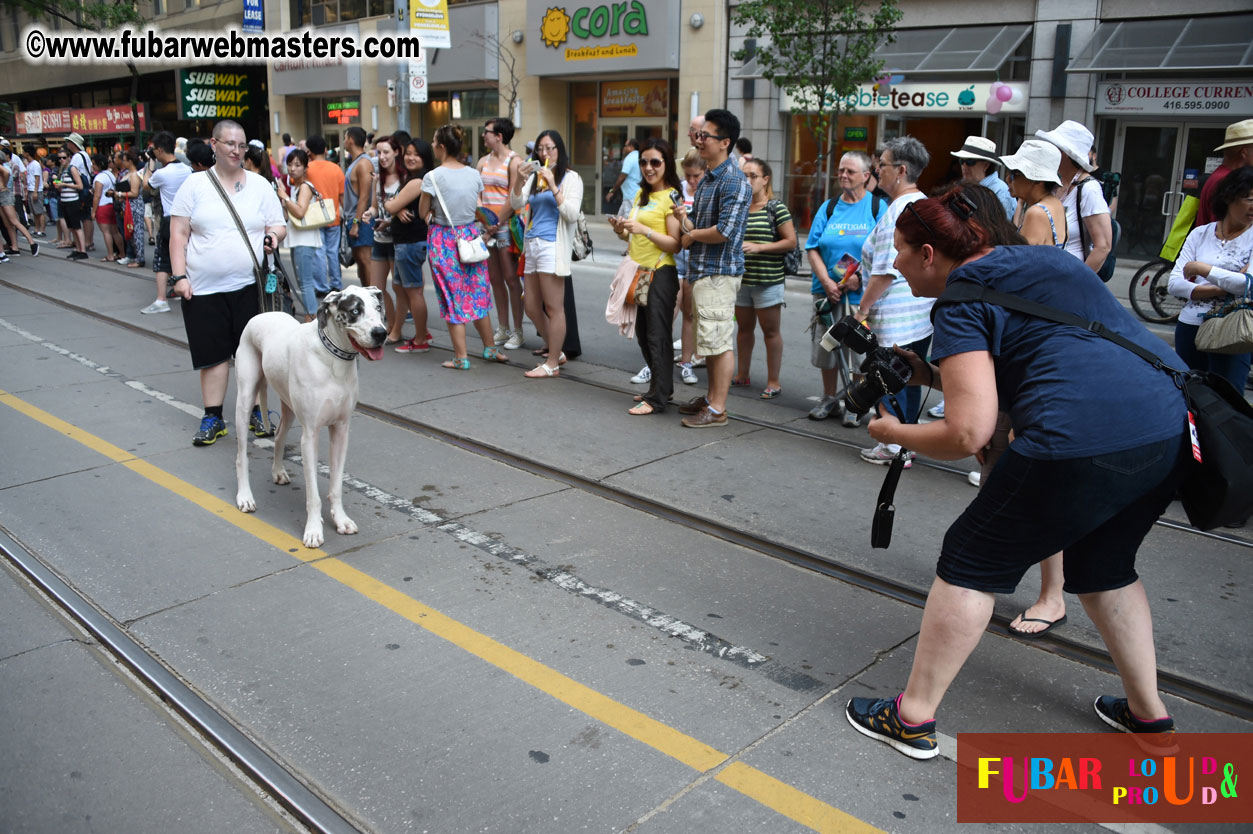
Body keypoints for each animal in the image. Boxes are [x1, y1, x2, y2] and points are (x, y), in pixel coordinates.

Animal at [235, 285, 385, 545]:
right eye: (355, 311)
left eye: (378, 308)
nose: (382, 333)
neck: (334, 359)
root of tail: (262, 313)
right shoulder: (310, 436)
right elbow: (313, 494)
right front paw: (314, 530)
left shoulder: (341, 431)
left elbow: (336, 486)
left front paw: (341, 520)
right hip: (244, 401)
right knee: (241, 456)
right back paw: (245, 496)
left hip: (289, 408)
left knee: (279, 437)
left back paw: (278, 471)